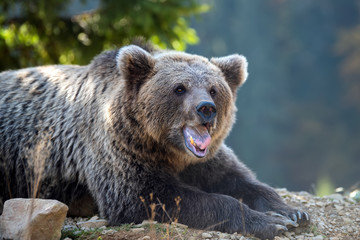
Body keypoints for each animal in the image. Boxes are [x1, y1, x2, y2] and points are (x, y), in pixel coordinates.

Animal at [0, 44, 310, 238]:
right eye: (180, 88)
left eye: (213, 88)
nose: (206, 108)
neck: (166, 149)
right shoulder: (117, 151)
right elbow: (150, 195)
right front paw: (270, 222)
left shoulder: (205, 160)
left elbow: (240, 180)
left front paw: (291, 213)